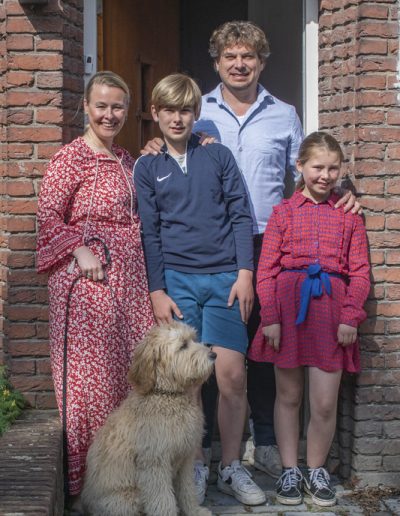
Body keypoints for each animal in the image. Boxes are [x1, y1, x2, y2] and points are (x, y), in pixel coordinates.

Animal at [79, 322, 214, 516]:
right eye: (183, 345)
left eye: (194, 339)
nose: (213, 355)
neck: (167, 395)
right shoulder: (154, 462)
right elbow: (162, 498)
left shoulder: (185, 459)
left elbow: (187, 489)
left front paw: (195, 511)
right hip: (127, 500)